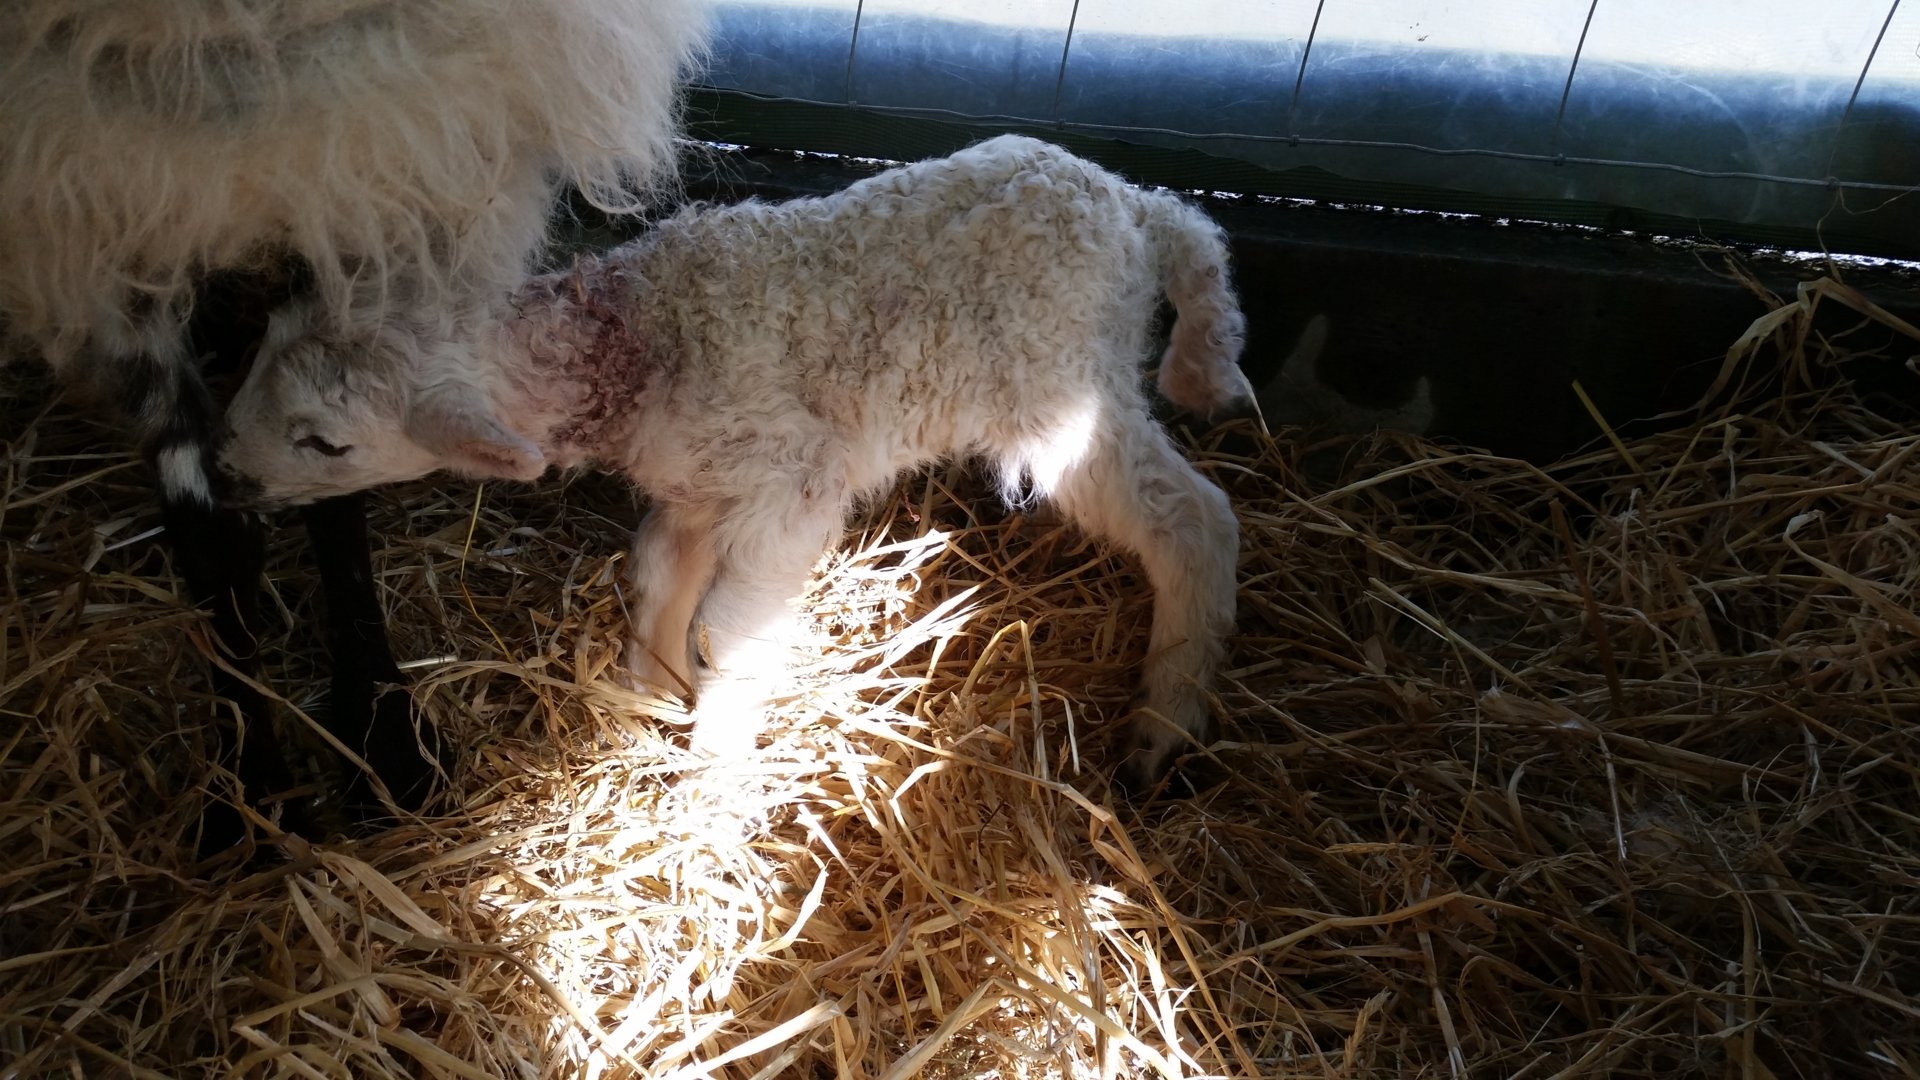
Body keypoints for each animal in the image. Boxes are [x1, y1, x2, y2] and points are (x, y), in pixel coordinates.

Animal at [0, 0, 709, 846]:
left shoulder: (399, 148)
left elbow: (339, 485)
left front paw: (387, 744)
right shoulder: (83, 205)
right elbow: (206, 528)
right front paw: (248, 789)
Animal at [218, 135, 1254, 788]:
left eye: (324, 441)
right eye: (254, 357)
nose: (226, 473)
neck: (640, 342)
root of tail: (1136, 205)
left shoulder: (792, 487)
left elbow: (730, 626)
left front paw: (713, 759)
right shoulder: (696, 486)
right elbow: (657, 576)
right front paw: (646, 691)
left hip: (1063, 395)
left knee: (1195, 518)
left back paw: (1163, 726)